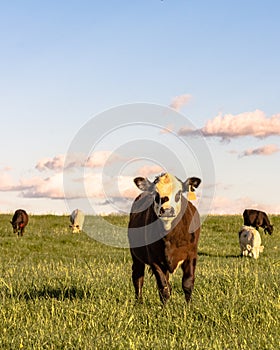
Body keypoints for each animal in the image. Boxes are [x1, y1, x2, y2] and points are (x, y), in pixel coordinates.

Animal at [127, 172, 201, 304]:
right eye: (156, 194)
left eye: (179, 193)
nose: (167, 210)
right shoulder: (154, 259)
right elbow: (163, 287)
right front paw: (165, 308)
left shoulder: (191, 254)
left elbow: (187, 283)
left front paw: (189, 306)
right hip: (136, 255)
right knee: (138, 277)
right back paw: (139, 303)